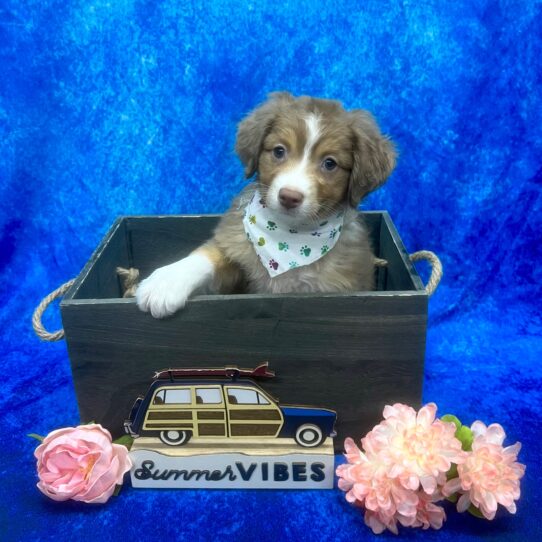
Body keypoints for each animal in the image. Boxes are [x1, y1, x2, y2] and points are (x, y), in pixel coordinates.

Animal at [138, 91, 398, 316]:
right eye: (279, 151)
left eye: (330, 163)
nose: (289, 196)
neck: (290, 239)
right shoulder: (236, 252)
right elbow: (209, 254)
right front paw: (165, 282)